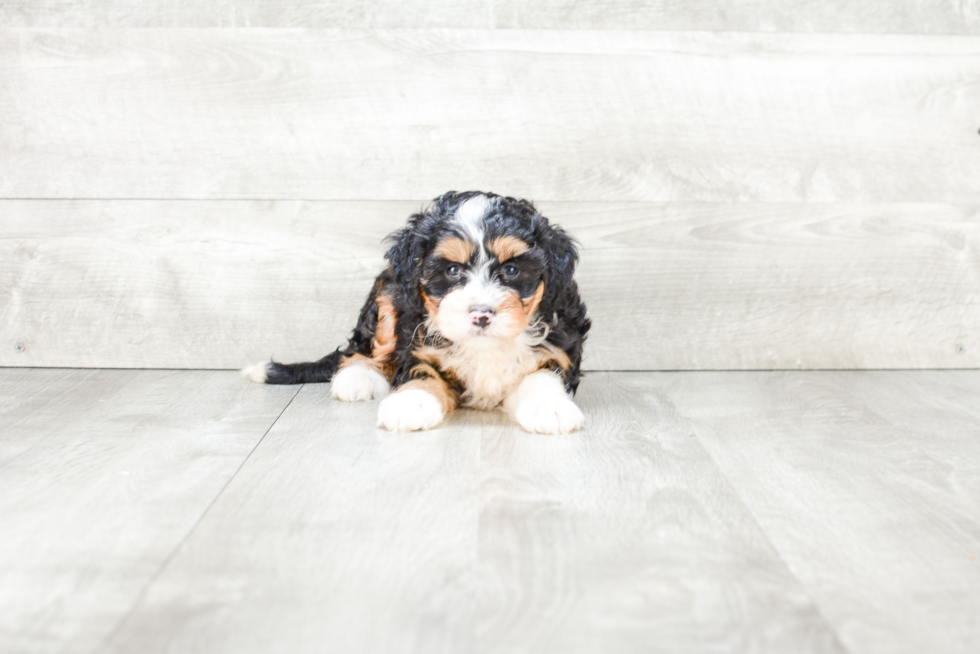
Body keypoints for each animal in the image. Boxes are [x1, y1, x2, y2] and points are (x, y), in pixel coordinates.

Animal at [244, 191, 588, 436]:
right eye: (452, 271)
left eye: (512, 270)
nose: (481, 315)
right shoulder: (415, 344)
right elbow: (422, 373)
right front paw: (411, 403)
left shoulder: (560, 346)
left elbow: (543, 374)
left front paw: (549, 407)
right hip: (387, 295)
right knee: (362, 349)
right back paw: (358, 377)